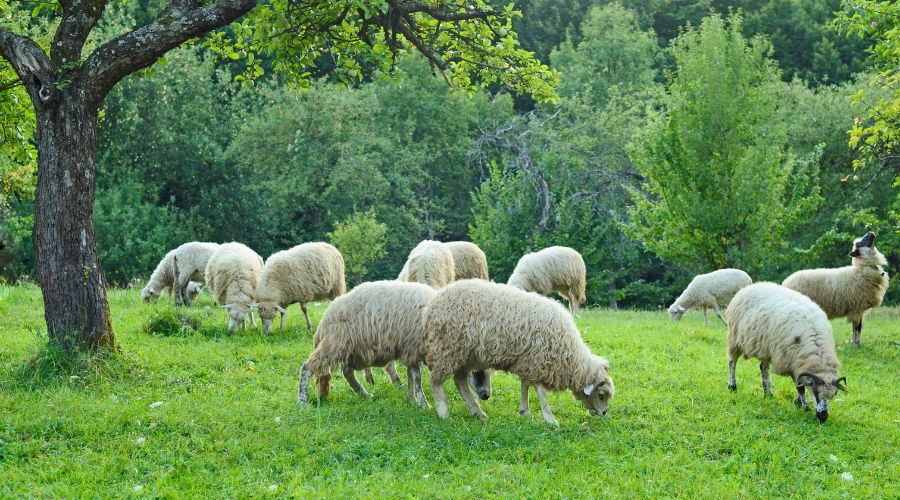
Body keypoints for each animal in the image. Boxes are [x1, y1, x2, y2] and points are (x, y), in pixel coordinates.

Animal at [296, 281, 494, 408]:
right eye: (476, 371)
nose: (486, 396)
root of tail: (326, 315)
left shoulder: (411, 350)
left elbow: (411, 376)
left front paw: (411, 399)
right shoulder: (413, 347)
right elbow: (417, 378)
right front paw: (423, 403)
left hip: (351, 348)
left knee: (347, 372)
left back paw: (364, 394)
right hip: (336, 343)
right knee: (307, 367)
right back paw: (302, 402)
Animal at [424, 279, 614, 426]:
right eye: (601, 395)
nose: (604, 413)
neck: (569, 355)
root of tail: (434, 301)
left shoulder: (528, 362)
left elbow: (525, 385)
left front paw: (524, 411)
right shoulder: (538, 361)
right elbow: (540, 391)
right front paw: (550, 419)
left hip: (467, 355)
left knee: (460, 381)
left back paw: (477, 411)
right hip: (447, 348)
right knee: (436, 380)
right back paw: (443, 411)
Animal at [726, 282, 848, 422]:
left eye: (835, 394)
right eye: (816, 392)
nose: (823, 417)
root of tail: (750, 286)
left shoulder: (798, 363)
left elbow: (800, 383)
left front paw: (798, 402)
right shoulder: (791, 361)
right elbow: (800, 387)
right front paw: (804, 406)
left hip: (766, 347)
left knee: (763, 367)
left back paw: (768, 394)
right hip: (734, 337)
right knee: (732, 362)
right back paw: (732, 386)